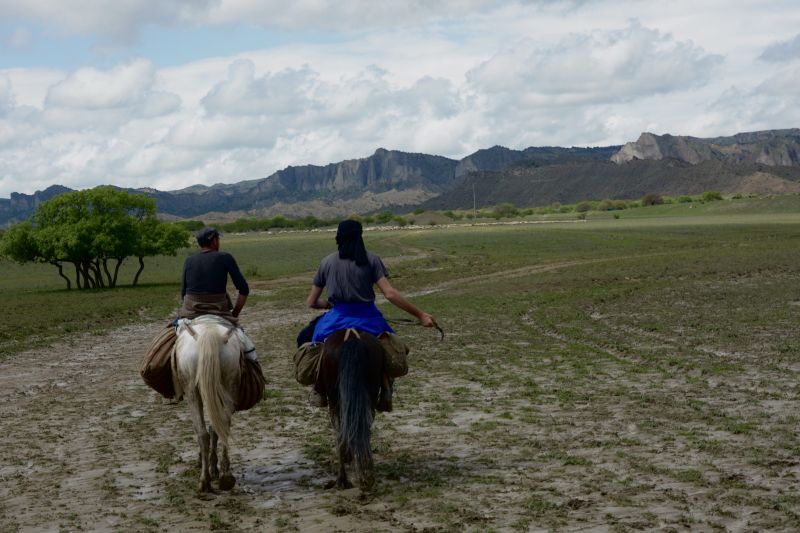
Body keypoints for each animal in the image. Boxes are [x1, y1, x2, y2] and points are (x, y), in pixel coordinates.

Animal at [172, 318, 241, 492]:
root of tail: (209, 334)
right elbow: (215, 429)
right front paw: (214, 468)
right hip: (230, 385)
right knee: (223, 427)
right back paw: (226, 477)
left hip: (191, 391)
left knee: (202, 433)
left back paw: (204, 481)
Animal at [314, 328, 386, 490]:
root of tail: (352, 337)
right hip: (370, 393)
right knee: (364, 426)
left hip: (335, 400)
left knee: (340, 432)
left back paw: (343, 479)